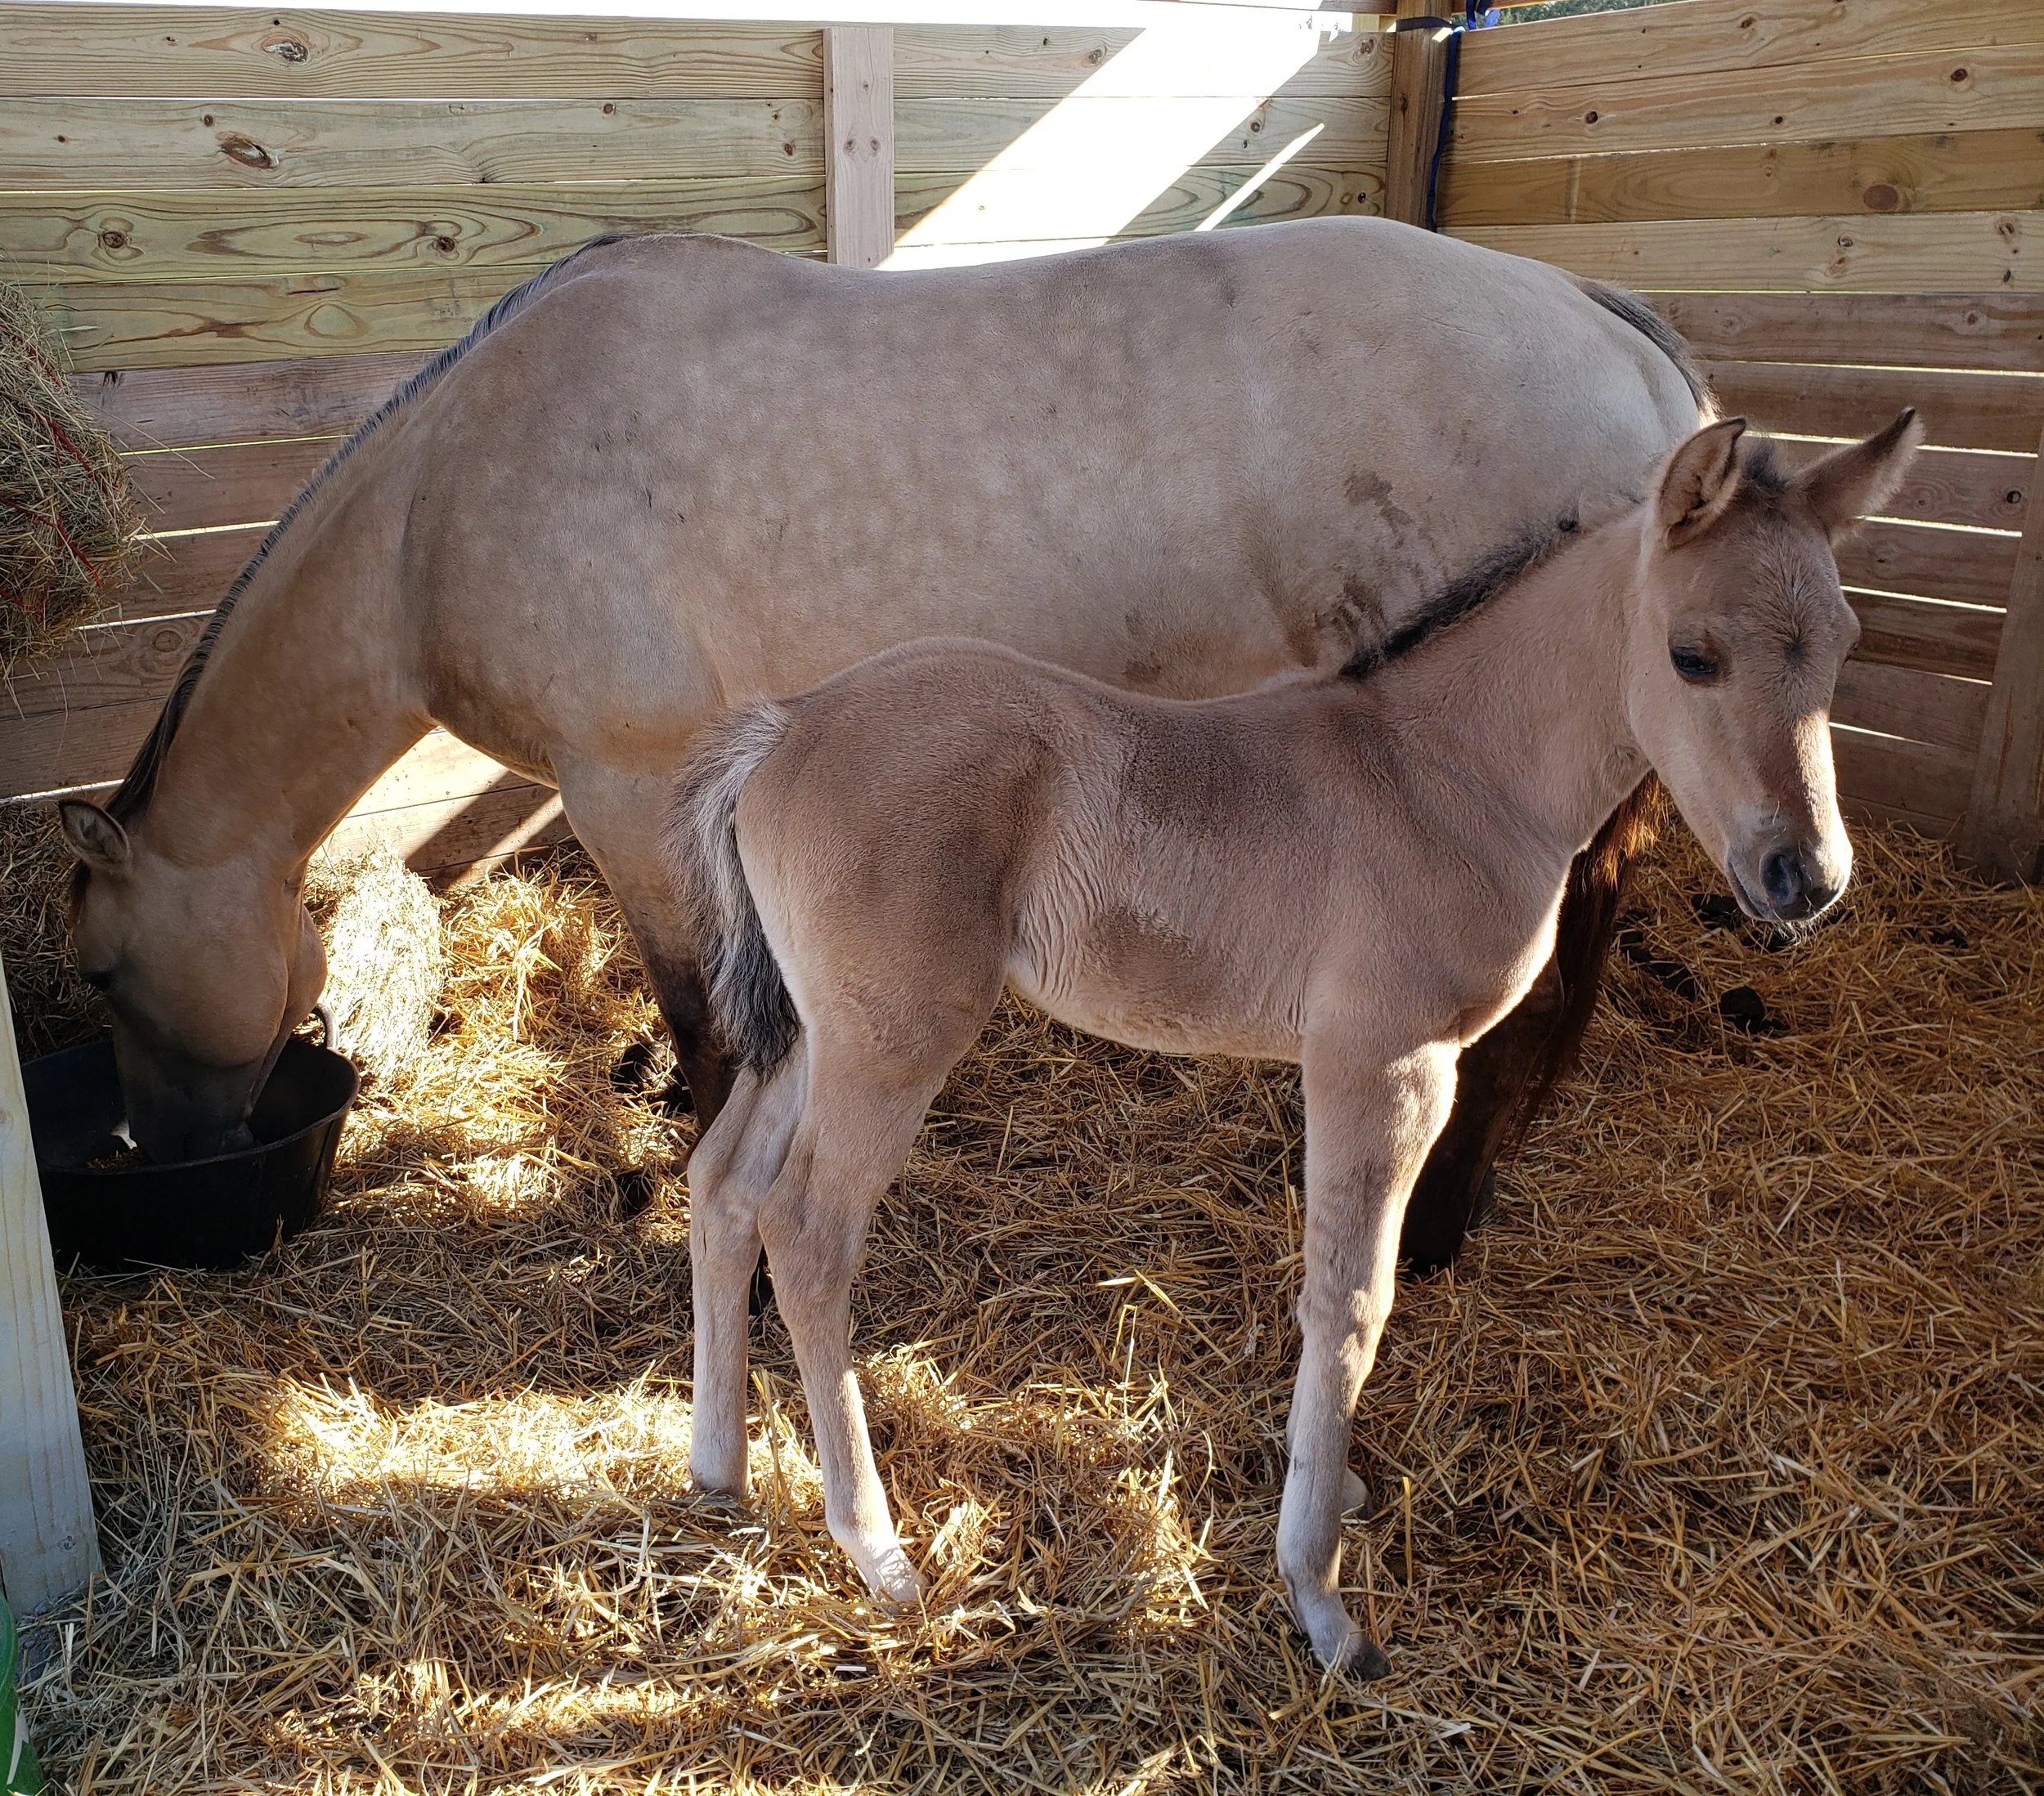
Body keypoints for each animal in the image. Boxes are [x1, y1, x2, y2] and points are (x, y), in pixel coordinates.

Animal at [57, 219, 1703, 1269]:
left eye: (101, 972)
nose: (163, 1152)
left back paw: (1431, 1228)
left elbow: (711, 1024)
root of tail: (1606, 323)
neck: (436, 503)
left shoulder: (631, 791)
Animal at [668, 411, 1923, 1674]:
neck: (1447, 774)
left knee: (724, 1186)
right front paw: (1319, 1594)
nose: (1804, 876)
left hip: (812, 1030)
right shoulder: (1387, 1061)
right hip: (892, 1039)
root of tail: (786, 727)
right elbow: (1352, 1298)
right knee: (807, 1233)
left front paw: (1338, 1496)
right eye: (1692, 656)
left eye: (1842, 649)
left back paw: (719, 1469)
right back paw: (878, 1551)